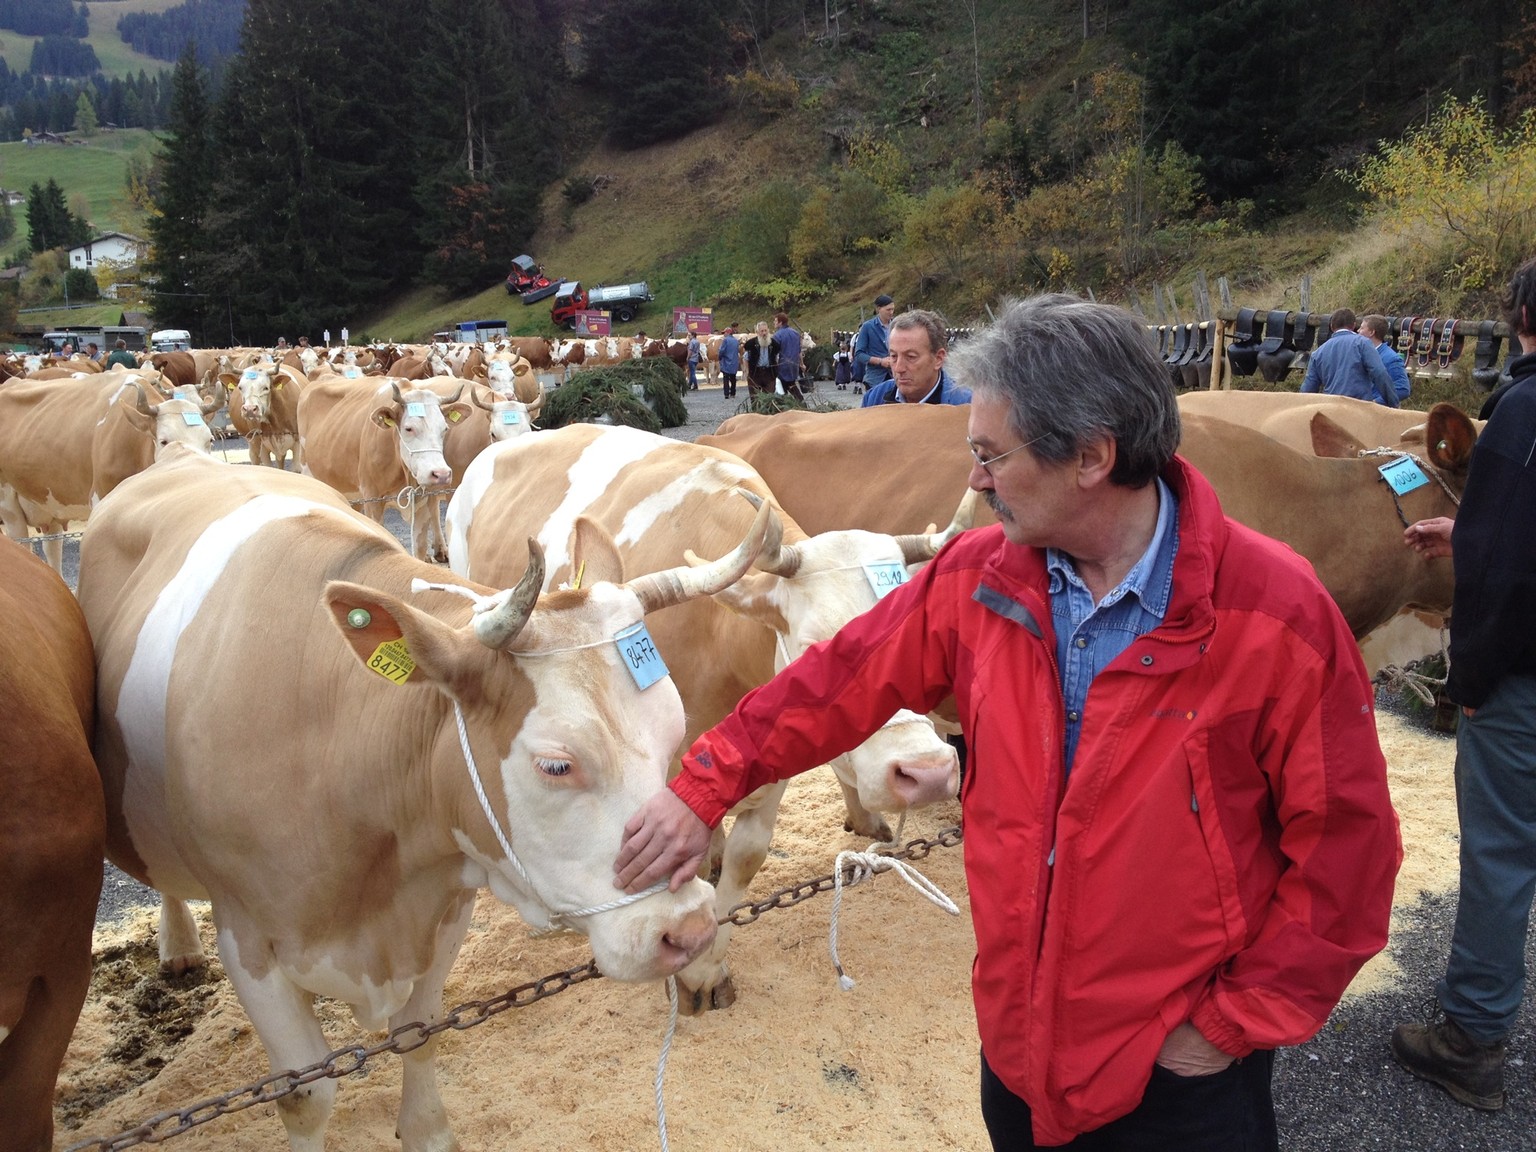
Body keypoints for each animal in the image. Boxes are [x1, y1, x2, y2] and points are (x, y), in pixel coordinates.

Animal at [0, 376, 222, 574]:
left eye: (209, 440)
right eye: (164, 441)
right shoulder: (100, 499)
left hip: (49, 504)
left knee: (52, 548)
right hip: (8, 507)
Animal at [296, 376, 466, 562]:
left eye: (445, 429)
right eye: (408, 428)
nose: (441, 474)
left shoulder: (421, 500)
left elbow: (419, 549)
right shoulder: (373, 498)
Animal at [442, 423, 958, 1007]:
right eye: (813, 648)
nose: (928, 770)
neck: (718, 639)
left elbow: (747, 857)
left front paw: (707, 969)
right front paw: (689, 975)